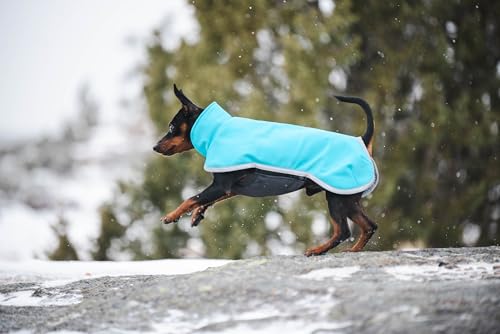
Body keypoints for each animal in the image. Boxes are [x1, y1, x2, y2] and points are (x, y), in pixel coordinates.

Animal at [153, 84, 378, 256]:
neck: (216, 130)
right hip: (349, 200)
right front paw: (196, 214)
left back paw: (317, 250)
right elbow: (203, 201)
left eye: (171, 128)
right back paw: (353, 251)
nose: (155, 146)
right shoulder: (231, 189)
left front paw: (171, 216)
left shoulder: (221, 185)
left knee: (343, 231)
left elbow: (191, 198)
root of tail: (362, 141)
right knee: (369, 226)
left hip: (336, 197)